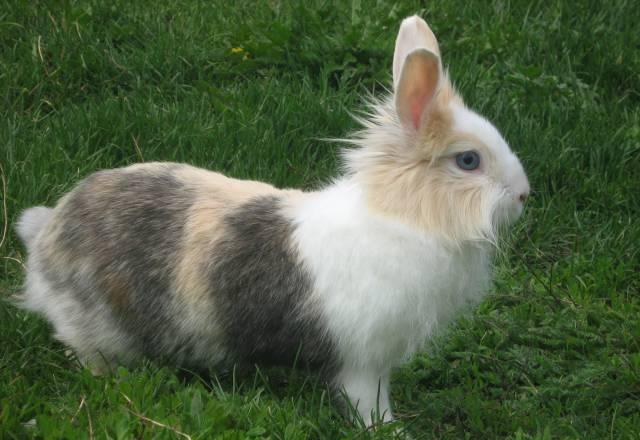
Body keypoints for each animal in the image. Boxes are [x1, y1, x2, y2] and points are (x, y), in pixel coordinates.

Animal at [15, 16, 529, 426]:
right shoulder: (361, 361)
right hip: (98, 328)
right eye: (468, 161)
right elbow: (368, 404)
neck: (404, 216)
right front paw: (389, 430)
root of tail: (46, 236)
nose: (524, 194)